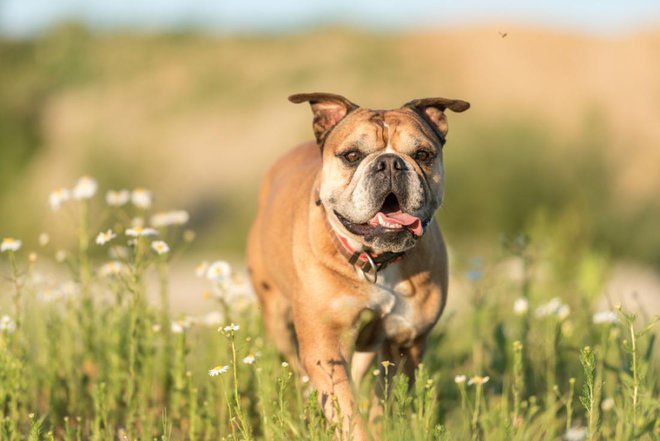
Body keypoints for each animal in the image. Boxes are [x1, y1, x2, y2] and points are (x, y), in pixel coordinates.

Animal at [246, 92, 470, 436]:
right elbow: (347, 412)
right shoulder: (327, 348)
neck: (377, 261)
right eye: (352, 155)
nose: (390, 163)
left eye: (422, 154)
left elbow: (385, 404)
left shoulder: (405, 342)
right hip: (277, 318)